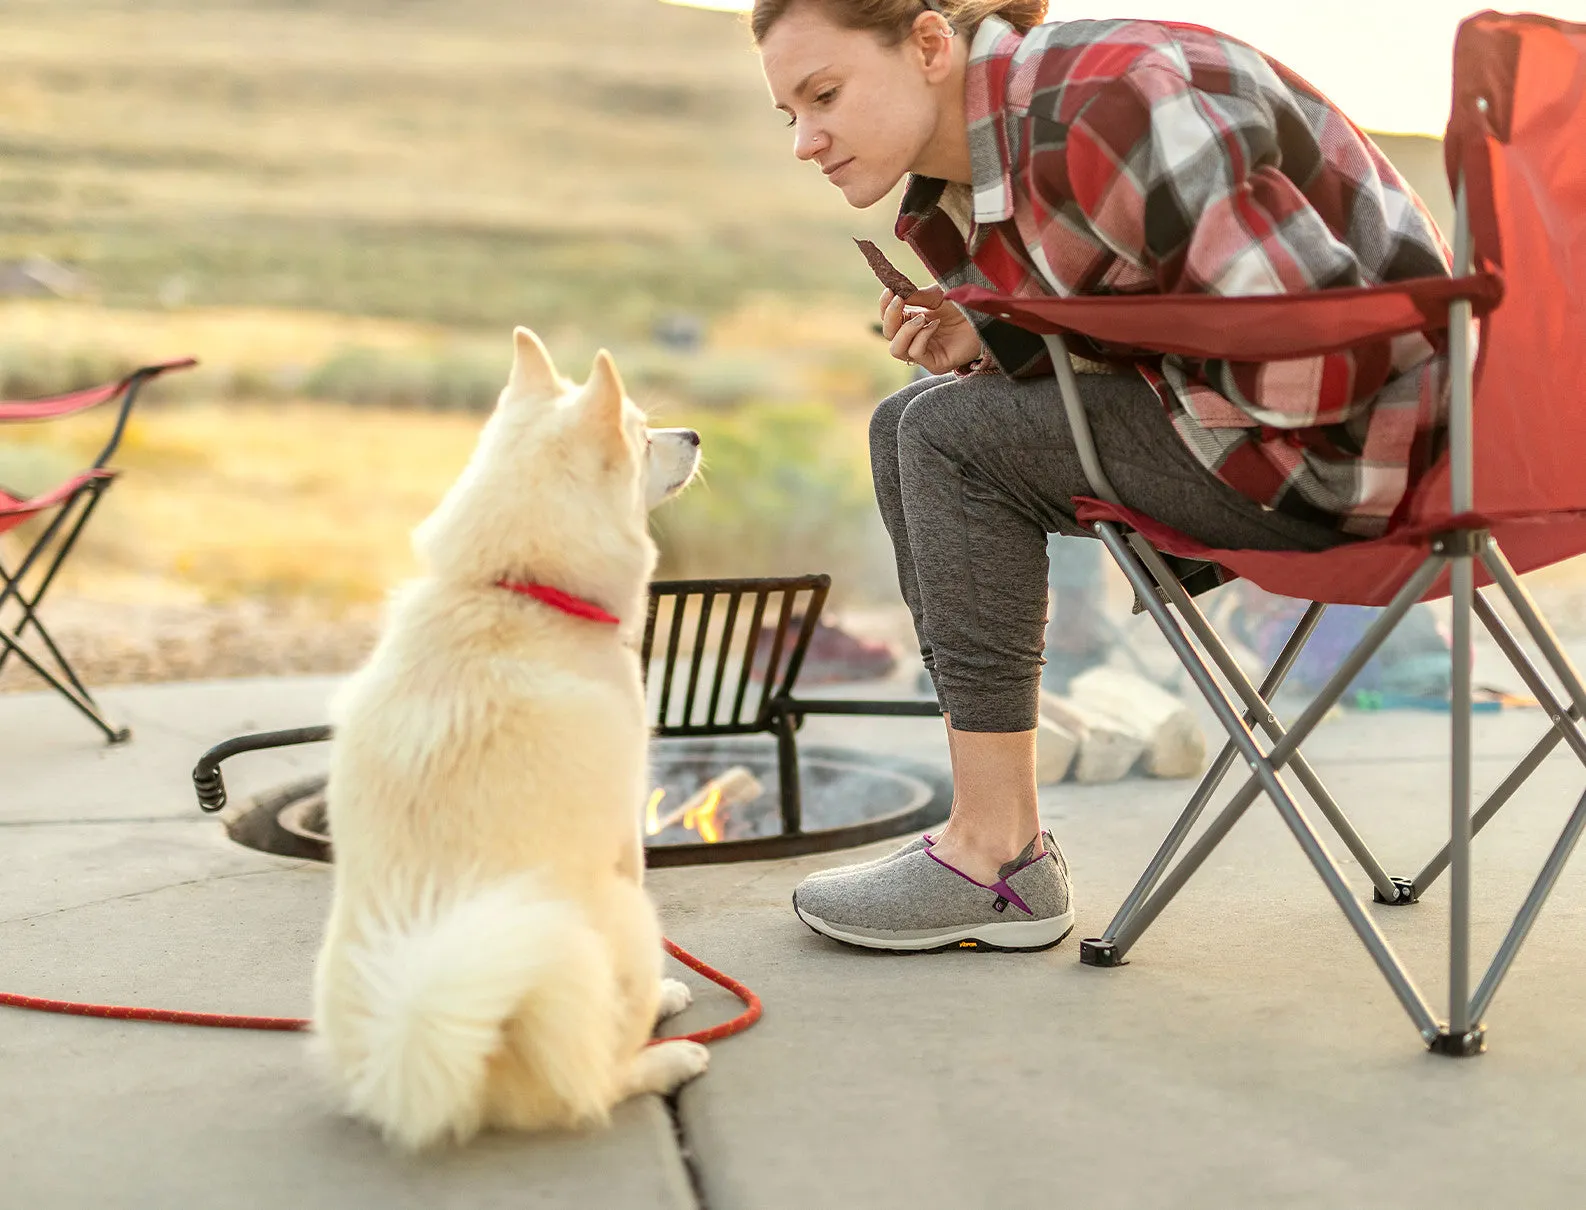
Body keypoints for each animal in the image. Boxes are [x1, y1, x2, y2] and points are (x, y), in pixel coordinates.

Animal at [312, 326, 704, 1148]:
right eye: (642, 433)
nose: (693, 434)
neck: (514, 589)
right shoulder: (626, 828)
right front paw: (666, 999)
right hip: (627, 921)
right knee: (596, 1077)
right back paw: (668, 1053)